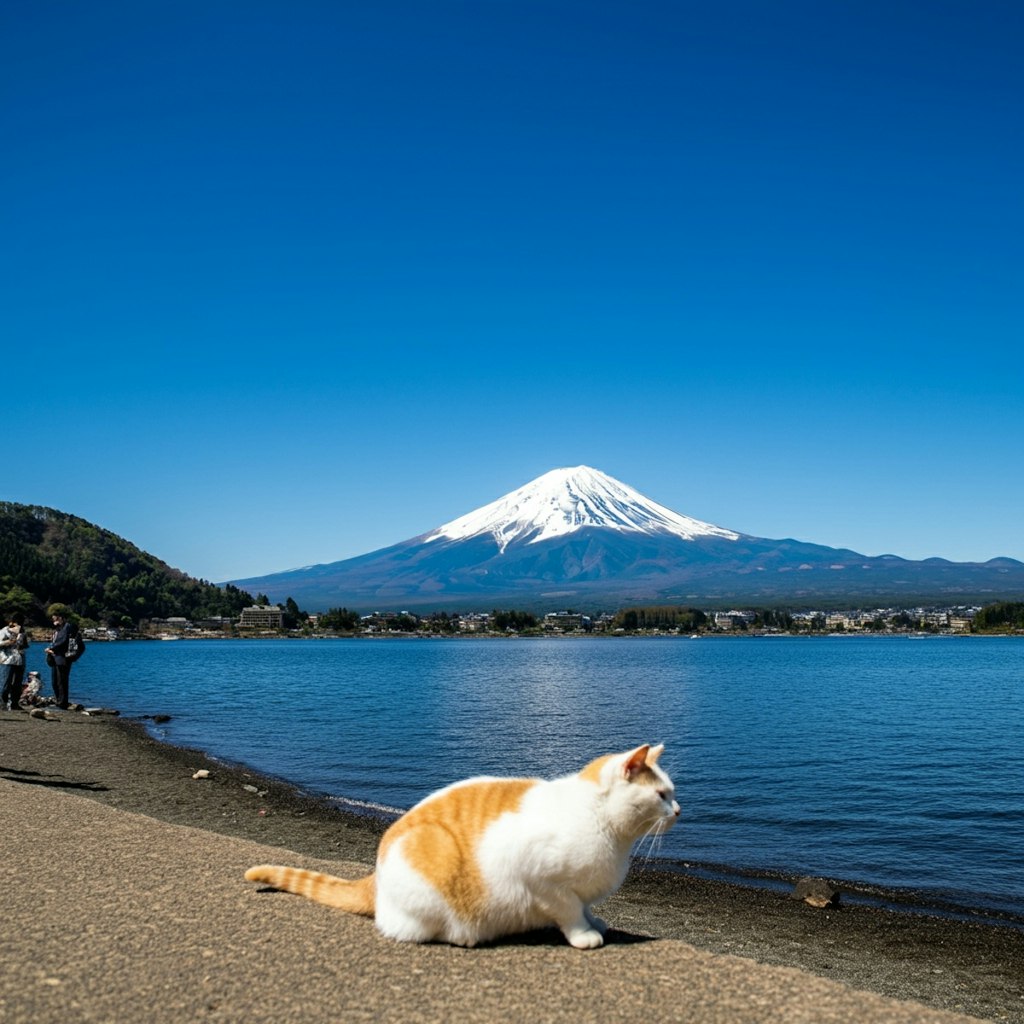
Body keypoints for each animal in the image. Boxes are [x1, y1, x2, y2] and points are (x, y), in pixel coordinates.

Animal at [244, 741, 679, 946]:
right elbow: (570, 910)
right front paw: (583, 934)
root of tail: (377, 872)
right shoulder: (543, 882)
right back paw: (464, 935)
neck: (605, 826)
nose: (679, 810)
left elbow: (585, 905)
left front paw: (595, 921)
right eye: (661, 795)